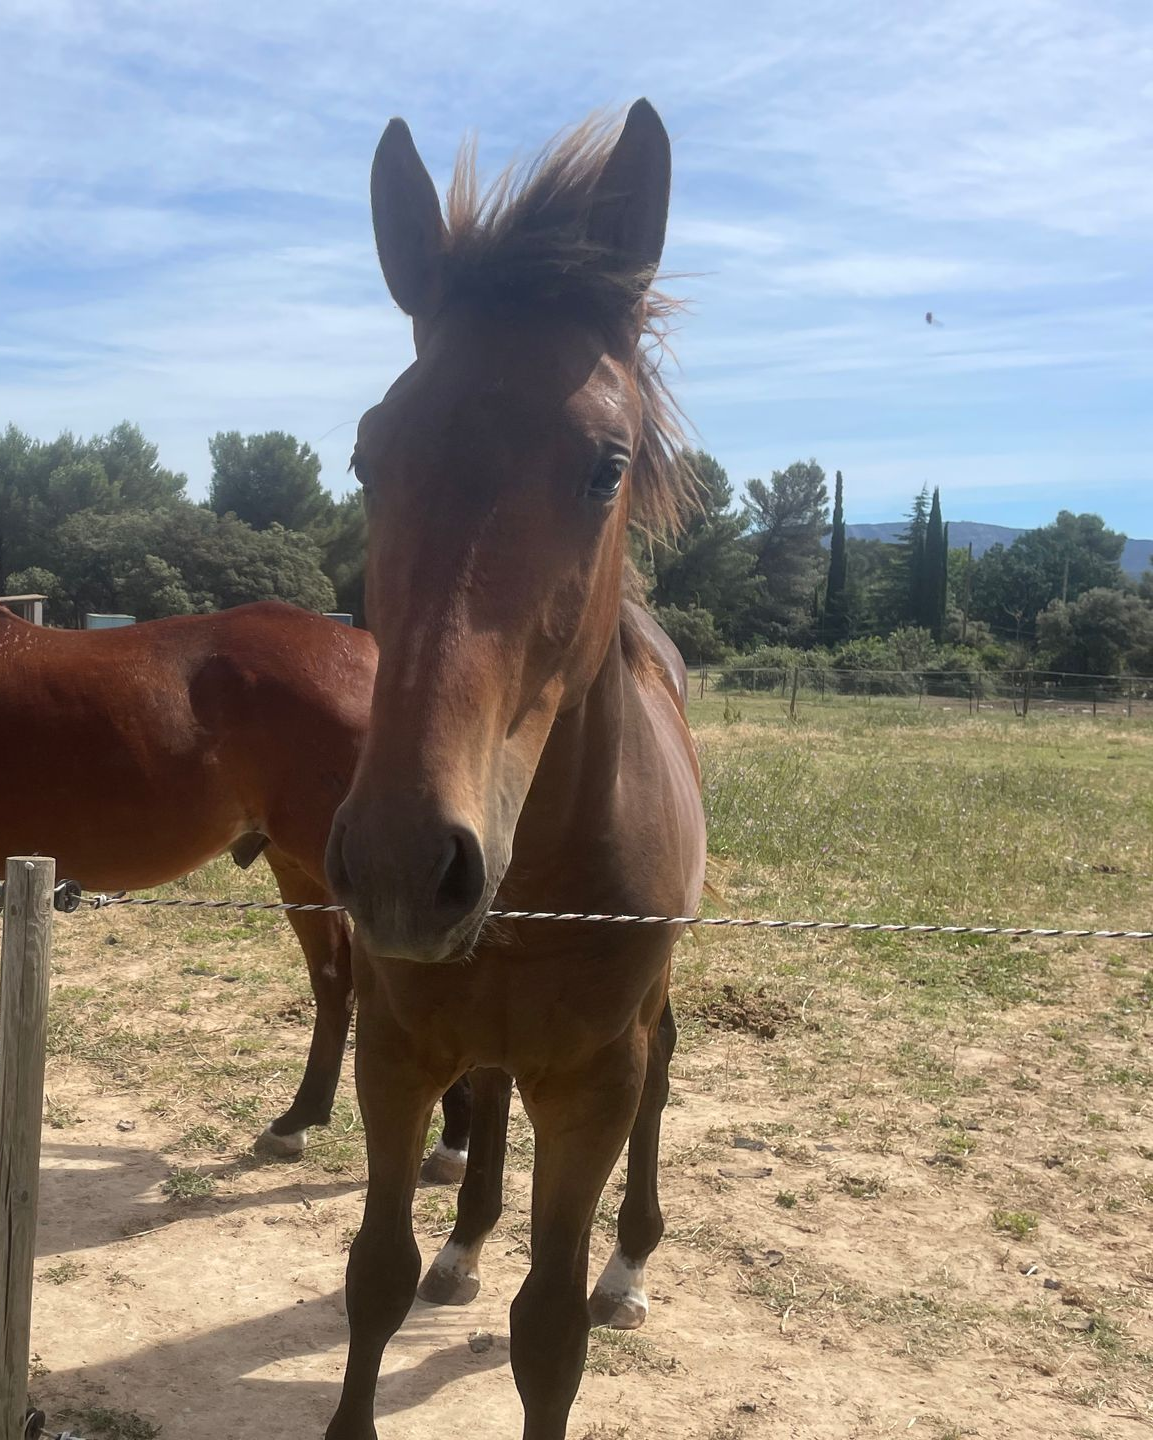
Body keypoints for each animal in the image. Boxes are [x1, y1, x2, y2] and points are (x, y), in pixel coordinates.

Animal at [324, 100, 706, 1439]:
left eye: (606, 465)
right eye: (367, 456)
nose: (402, 859)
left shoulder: (591, 1082)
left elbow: (547, 1335)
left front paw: (586, 1281)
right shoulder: (392, 1048)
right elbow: (373, 1274)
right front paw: (439, 1250)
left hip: (640, 1024)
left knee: (667, 1062)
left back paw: (631, 1265)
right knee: (485, 1104)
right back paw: (469, 1239)